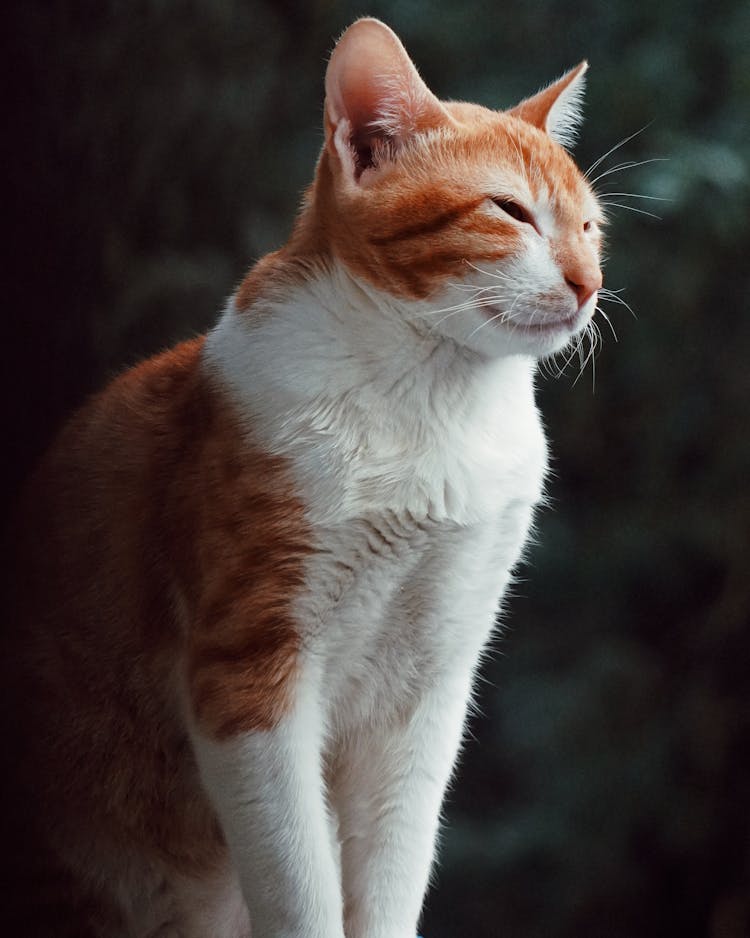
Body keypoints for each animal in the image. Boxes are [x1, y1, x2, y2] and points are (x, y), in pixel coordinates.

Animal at [1, 14, 604, 936]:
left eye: (591, 228)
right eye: (509, 210)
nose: (589, 283)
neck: (431, 402)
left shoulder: (427, 686)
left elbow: (391, 870)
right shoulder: (249, 674)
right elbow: (299, 882)